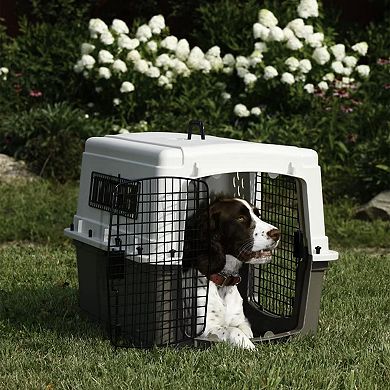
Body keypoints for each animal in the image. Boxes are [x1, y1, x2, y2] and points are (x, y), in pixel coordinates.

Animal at [184, 197, 280, 348]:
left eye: (257, 215)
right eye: (240, 218)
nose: (277, 233)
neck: (223, 282)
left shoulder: (241, 320)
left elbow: (245, 330)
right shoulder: (203, 330)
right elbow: (231, 330)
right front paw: (249, 346)